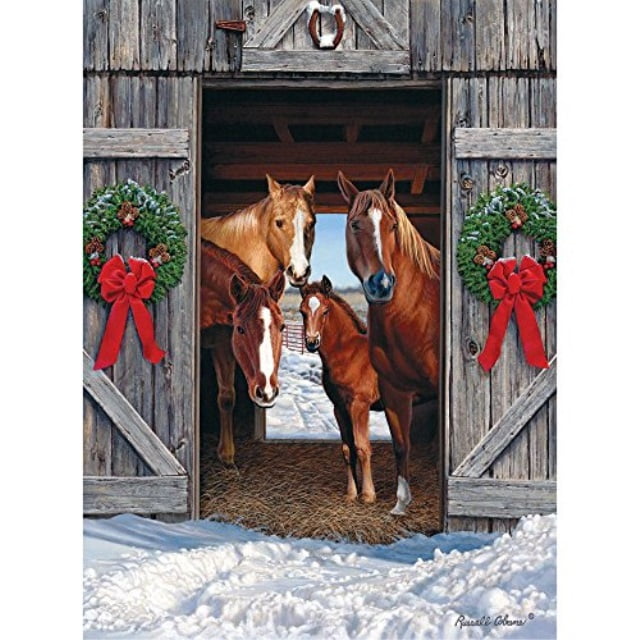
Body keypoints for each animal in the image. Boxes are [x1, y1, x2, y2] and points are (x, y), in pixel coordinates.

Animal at [200, 239, 286, 466]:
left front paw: (226, 454)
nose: (267, 392)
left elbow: (226, 397)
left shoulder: (222, 343)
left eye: (282, 327)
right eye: (240, 329)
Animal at [299, 276, 382, 503]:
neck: (349, 354)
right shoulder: (339, 408)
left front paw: (368, 495)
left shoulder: (360, 406)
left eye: (325, 311)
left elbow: (362, 447)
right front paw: (351, 493)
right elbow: (347, 449)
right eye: (302, 311)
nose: (312, 342)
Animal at [337, 169, 440, 515]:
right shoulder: (395, 390)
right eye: (355, 224)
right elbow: (400, 445)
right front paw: (400, 503)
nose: (381, 284)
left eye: (393, 226)